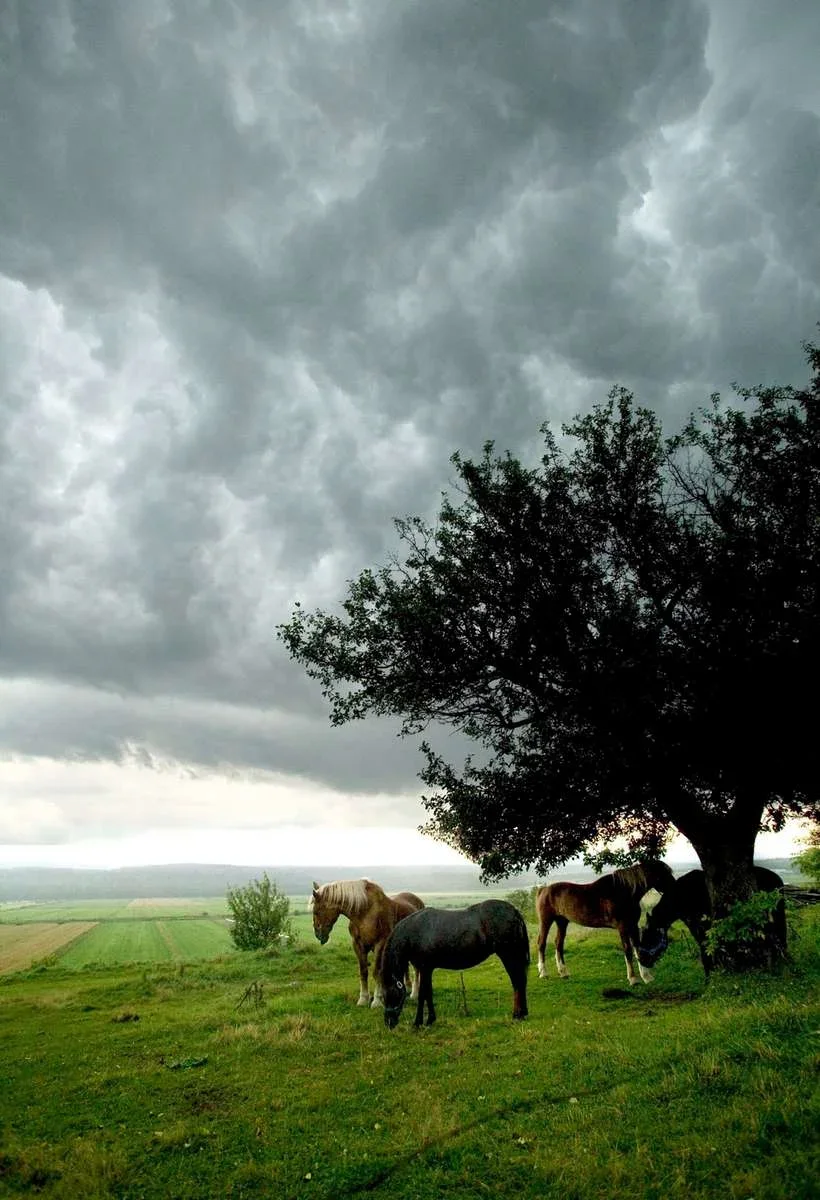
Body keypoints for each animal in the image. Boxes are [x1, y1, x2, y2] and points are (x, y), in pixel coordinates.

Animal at [310, 878, 424, 1008]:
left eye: (316, 911)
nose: (318, 934)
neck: (365, 912)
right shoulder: (358, 945)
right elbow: (363, 971)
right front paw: (363, 999)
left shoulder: (380, 944)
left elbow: (377, 972)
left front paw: (377, 1000)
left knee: (416, 969)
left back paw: (414, 993)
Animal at [382, 899, 529, 1029]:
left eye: (389, 994)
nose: (388, 1023)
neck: (414, 932)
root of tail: (514, 911)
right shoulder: (428, 969)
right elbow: (428, 992)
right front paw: (430, 1020)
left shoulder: (424, 968)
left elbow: (422, 994)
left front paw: (418, 1023)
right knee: (520, 982)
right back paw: (523, 1013)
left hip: (509, 956)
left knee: (517, 982)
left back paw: (517, 1015)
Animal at [535, 860, 676, 986]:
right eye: (663, 874)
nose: (676, 888)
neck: (624, 891)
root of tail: (544, 889)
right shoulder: (623, 927)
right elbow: (628, 950)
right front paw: (633, 979)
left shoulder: (633, 926)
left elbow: (638, 948)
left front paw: (646, 977)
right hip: (546, 921)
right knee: (542, 943)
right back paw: (543, 973)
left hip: (562, 921)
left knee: (558, 943)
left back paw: (563, 972)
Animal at [637, 866, 785, 975]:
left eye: (650, 935)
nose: (642, 959)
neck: (682, 895)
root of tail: (778, 879)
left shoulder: (701, 926)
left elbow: (705, 951)